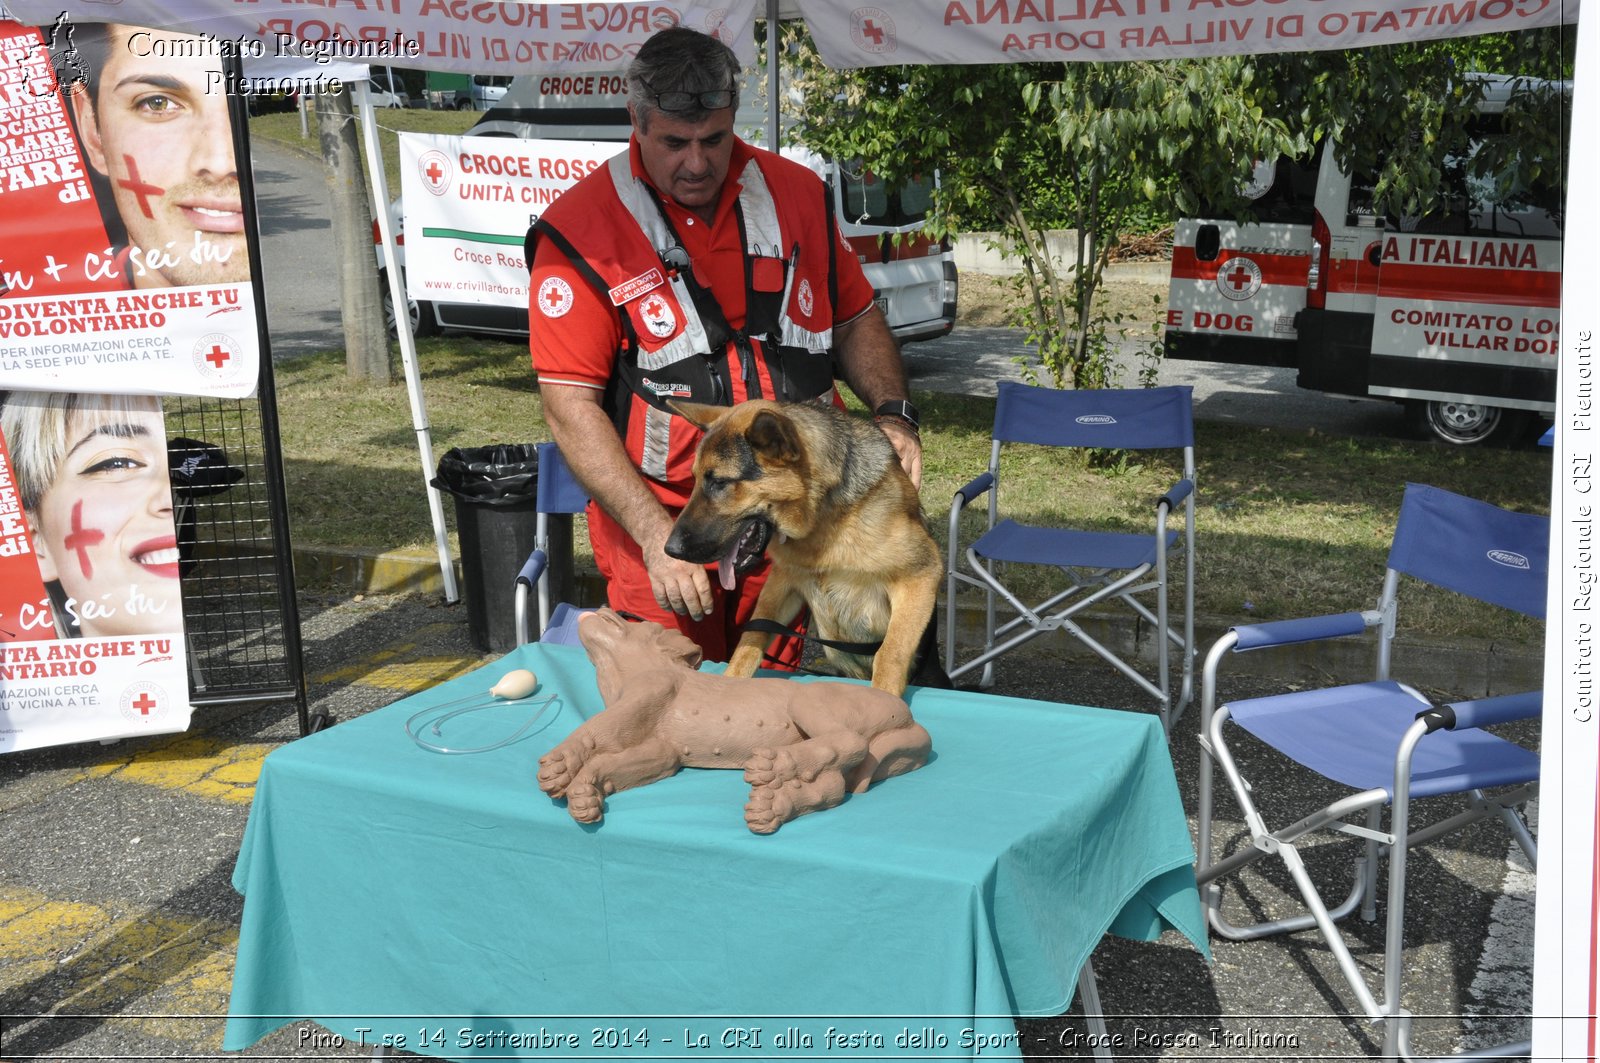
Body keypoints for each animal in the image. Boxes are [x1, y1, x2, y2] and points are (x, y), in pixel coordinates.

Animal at [665, 398, 940, 697]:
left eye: (719, 482)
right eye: (694, 479)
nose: (669, 550)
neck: (821, 520)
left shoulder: (921, 575)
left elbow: (891, 652)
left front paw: (884, 697)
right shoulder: (781, 582)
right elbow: (751, 636)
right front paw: (731, 681)